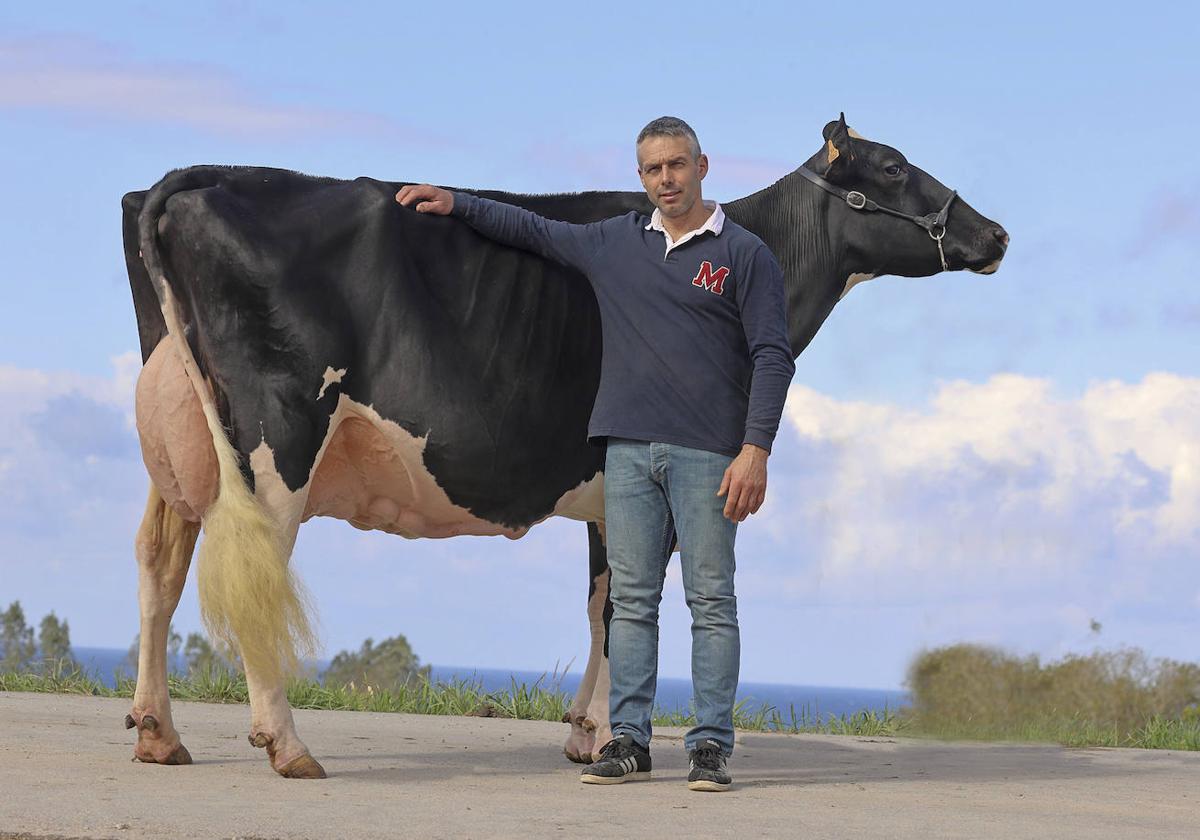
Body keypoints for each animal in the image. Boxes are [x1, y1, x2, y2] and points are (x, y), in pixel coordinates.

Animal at [119, 114, 1003, 777]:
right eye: (891, 166)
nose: (993, 232)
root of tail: (206, 177)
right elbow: (620, 606)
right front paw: (608, 737)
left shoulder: (607, 488)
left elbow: (604, 600)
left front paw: (586, 732)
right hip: (277, 442)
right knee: (255, 567)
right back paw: (286, 743)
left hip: (184, 440)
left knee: (161, 562)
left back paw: (159, 733)